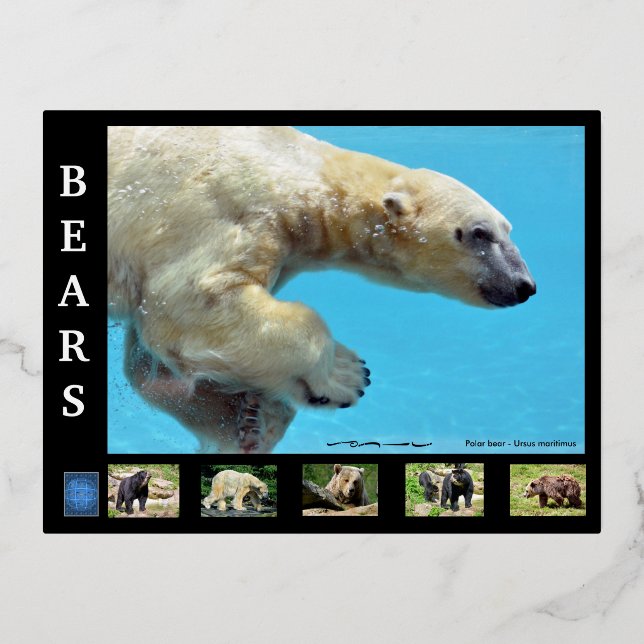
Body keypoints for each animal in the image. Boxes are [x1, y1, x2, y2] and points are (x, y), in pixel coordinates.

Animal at [108, 126, 536, 454]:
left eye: (508, 229)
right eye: (479, 233)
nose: (524, 285)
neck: (301, 170)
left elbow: (147, 361)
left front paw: (251, 422)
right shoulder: (224, 210)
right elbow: (193, 302)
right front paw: (346, 374)